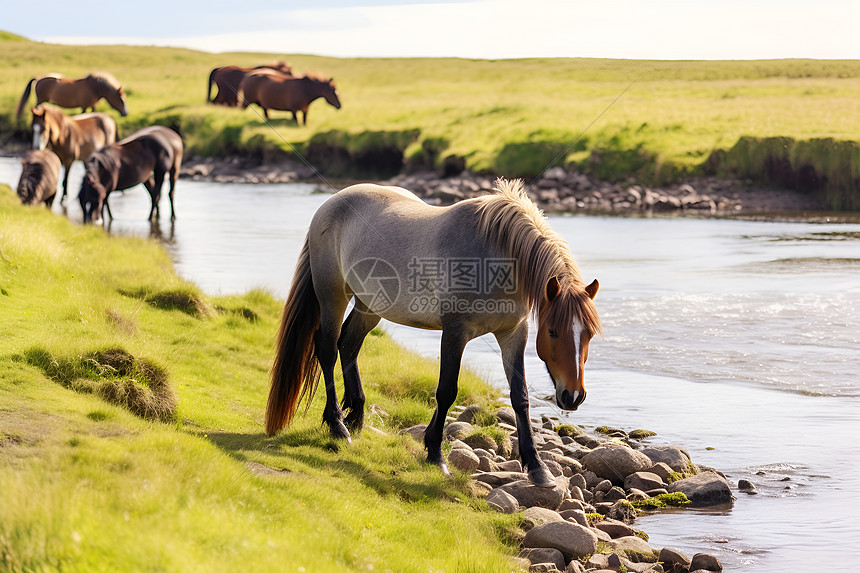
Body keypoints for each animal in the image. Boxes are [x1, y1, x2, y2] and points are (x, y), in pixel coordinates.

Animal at [266, 179, 600, 488]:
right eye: (553, 332)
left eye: (589, 335)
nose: (573, 396)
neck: (496, 258)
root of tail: (331, 203)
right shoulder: (455, 332)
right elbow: (446, 391)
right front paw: (436, 455)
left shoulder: (513, 333)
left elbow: (520, 397)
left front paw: (537, 468)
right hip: (333, 294)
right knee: (327, 348)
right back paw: (338, 425)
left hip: (369, 306)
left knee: (348, 345)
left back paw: (357, 416)